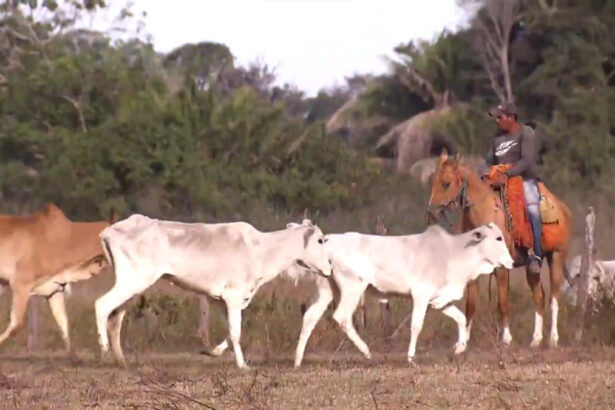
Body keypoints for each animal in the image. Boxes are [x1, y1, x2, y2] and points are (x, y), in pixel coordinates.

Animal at [94, 216, 332, 370]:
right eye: (321, 240)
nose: (330, 267)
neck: (260, 250)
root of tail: (110, 231)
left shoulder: (223, 300)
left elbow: (230, 330)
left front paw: (214, 351)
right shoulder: (234, 296)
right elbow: (236, 331)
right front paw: (243, 365)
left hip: (133, 286)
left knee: (116, 318)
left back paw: (120, 360)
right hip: (133, 280)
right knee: (102, 305)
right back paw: (104, 349)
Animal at [298, 223, 516, 364]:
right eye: (498, 238)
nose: (512, 262)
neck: (452, 253)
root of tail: (327, 240)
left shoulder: (437, 299)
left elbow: (461, 318)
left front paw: (459, 347)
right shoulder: (421, 295)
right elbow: (416, 326)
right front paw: (410, 357)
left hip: (327, 289)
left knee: (310, 316)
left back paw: (298, 359)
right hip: (353, 287)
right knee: (342, 316)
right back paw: (366, 351)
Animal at [428, 151, 572, 350]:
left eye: (447, 183)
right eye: (432, 180)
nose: (431, 212)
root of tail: (563, 208)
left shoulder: (501, 268)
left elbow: (502, 302)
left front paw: (506, 339)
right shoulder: (472, 270)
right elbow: (470, 304)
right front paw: (462, 343)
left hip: (556, 257)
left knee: (554, 298)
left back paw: (553, 339)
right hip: (532, 267)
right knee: (539, 297)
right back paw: (535, 340)